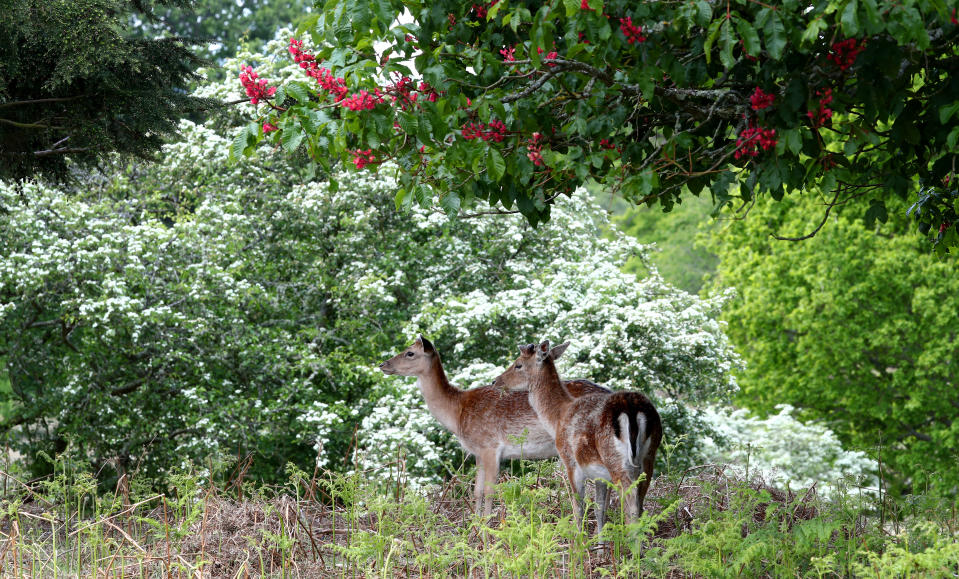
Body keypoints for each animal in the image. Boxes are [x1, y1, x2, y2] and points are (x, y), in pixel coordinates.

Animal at [376, 336, 608, 516]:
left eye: (410, 353)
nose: (383, 364)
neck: (457, 412)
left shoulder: (490, 447)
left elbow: (489, 491)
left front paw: (487, 530)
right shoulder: (477, 452)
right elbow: (477, 491)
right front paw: (474, 526)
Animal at [496, 340, 660, 540]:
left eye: (518, 364)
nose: (495, 381)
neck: (557, 417)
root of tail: (631, 409)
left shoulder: (570, 462)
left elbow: (578, 508)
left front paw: (579, 542)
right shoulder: (599, 472)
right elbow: (600, 508)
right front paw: (599, 544)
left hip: (615, 460)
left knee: (632, 509)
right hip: (649, 457)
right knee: (641, 505)